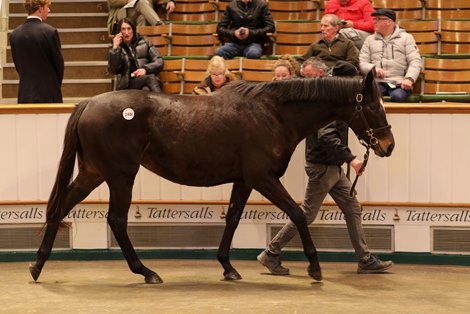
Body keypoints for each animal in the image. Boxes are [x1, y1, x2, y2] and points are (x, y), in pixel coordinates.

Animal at [30, 69, 392, 284]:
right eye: (374, 107)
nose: (388, 145)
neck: (273, 114)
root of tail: (88, 103)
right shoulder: (262, 178)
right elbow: (298, 214)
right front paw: (314, 267)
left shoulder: (244, 181)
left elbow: (232, 219)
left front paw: (228, 267)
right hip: (120, 175)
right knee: (116, 220)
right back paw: (146, 271)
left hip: (93, 172)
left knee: (61, 208)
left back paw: (37, 265)